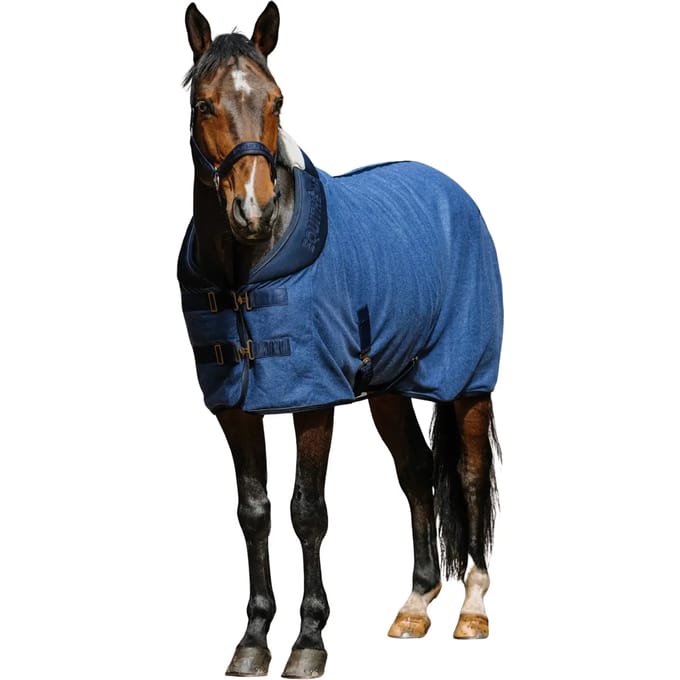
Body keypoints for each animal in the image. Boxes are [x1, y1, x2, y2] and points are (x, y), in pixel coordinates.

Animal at [178, 3, 502, 677]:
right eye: (203, 104)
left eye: (277, 99)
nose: (253, 208)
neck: (246, 270)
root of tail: (454, 193)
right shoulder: (234, 407)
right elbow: (254, 512)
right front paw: (253, 640)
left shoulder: (313, 399)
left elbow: (307, 512)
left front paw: (308, 641)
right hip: (389, 389)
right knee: (417, 472)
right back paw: (415, 605)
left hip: (469, 383)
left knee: (467, 476)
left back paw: (472, 610)